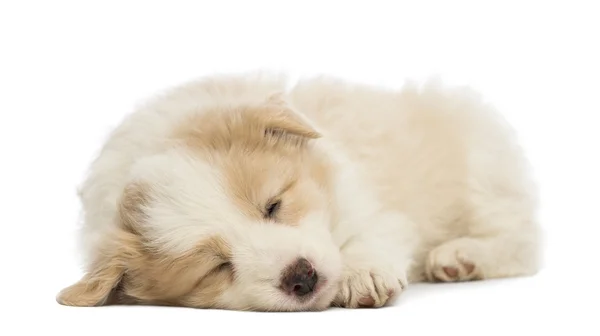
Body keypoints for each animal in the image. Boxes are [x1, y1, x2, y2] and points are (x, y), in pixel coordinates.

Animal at [57, 73, 544, 312]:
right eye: (216, 267)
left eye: (273, 206)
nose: (302, 276)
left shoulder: (369, 202)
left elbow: (372, 235)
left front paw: (363, 275)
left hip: (482, 171)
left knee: (522, 240)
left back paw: (459, 257)